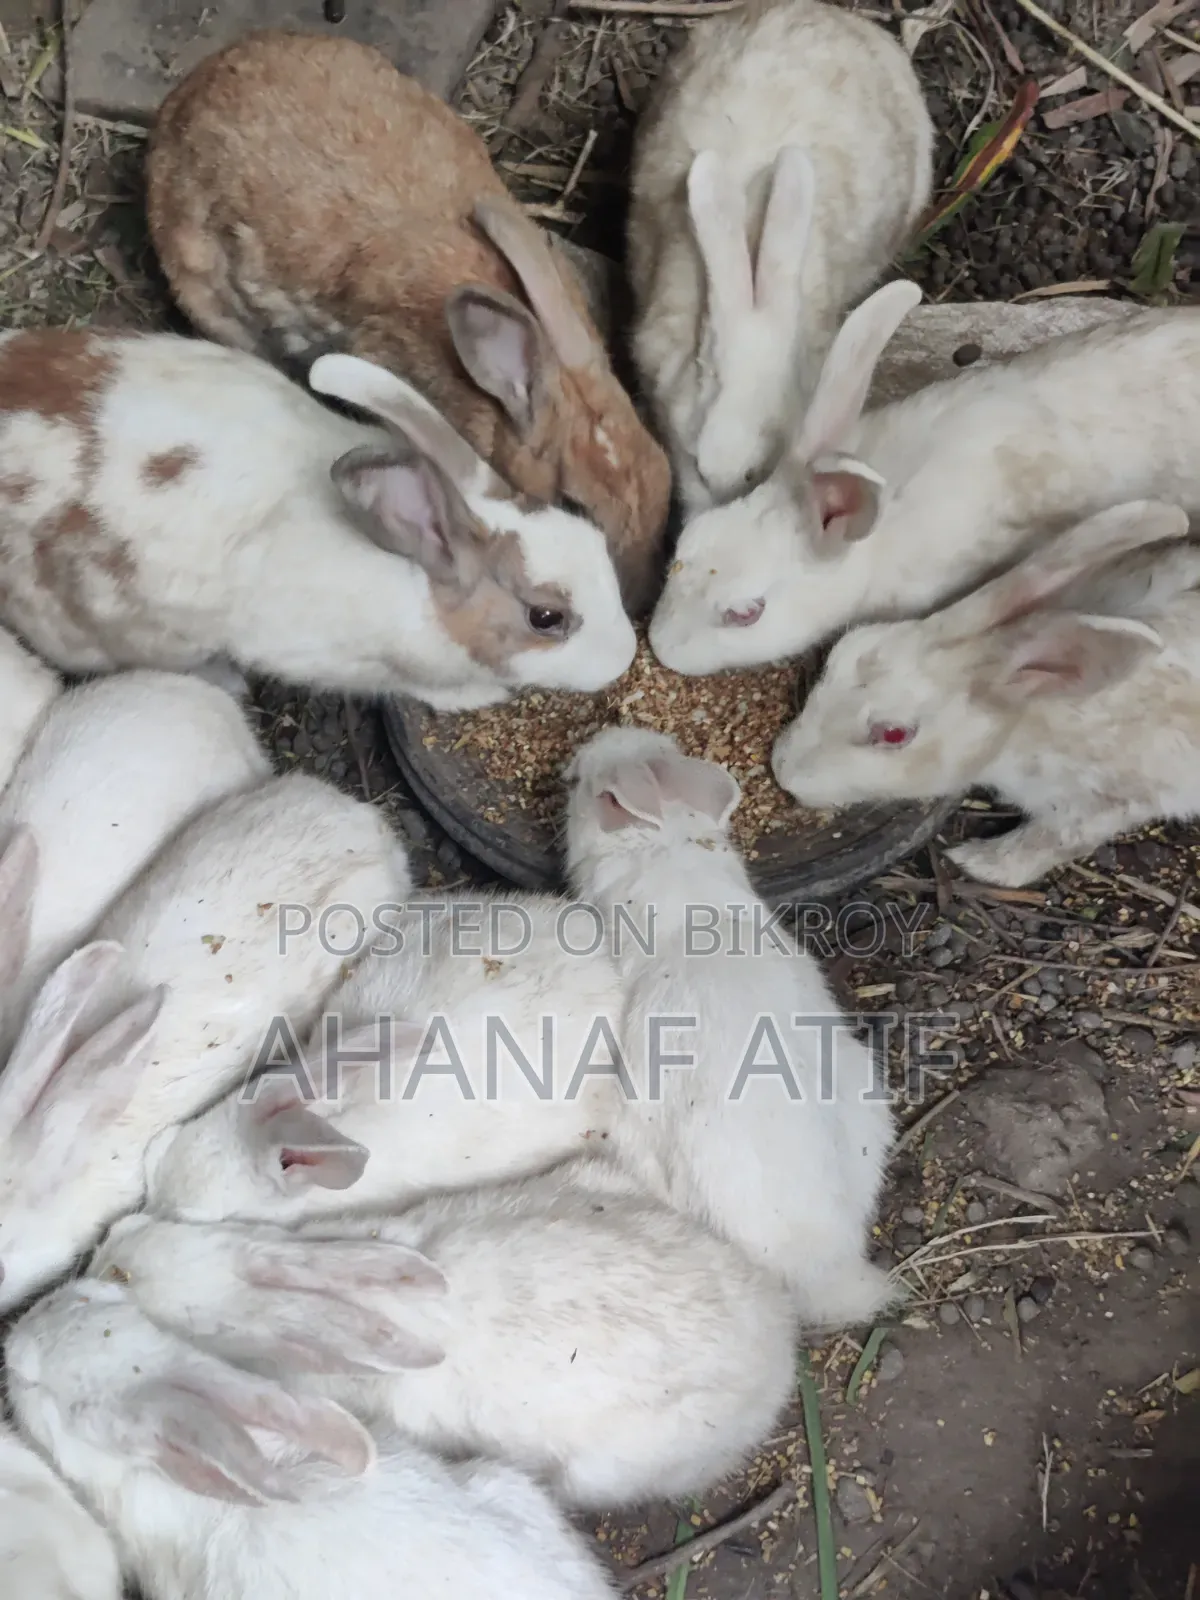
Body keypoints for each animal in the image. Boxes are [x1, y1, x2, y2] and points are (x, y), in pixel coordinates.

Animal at [772, 498, 1200, 886]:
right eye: (839, 655)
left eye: (893, 734)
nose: (782, 770)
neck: (1021, 720)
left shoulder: (1112, 799)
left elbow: (1058, 839)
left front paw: (977, 862)